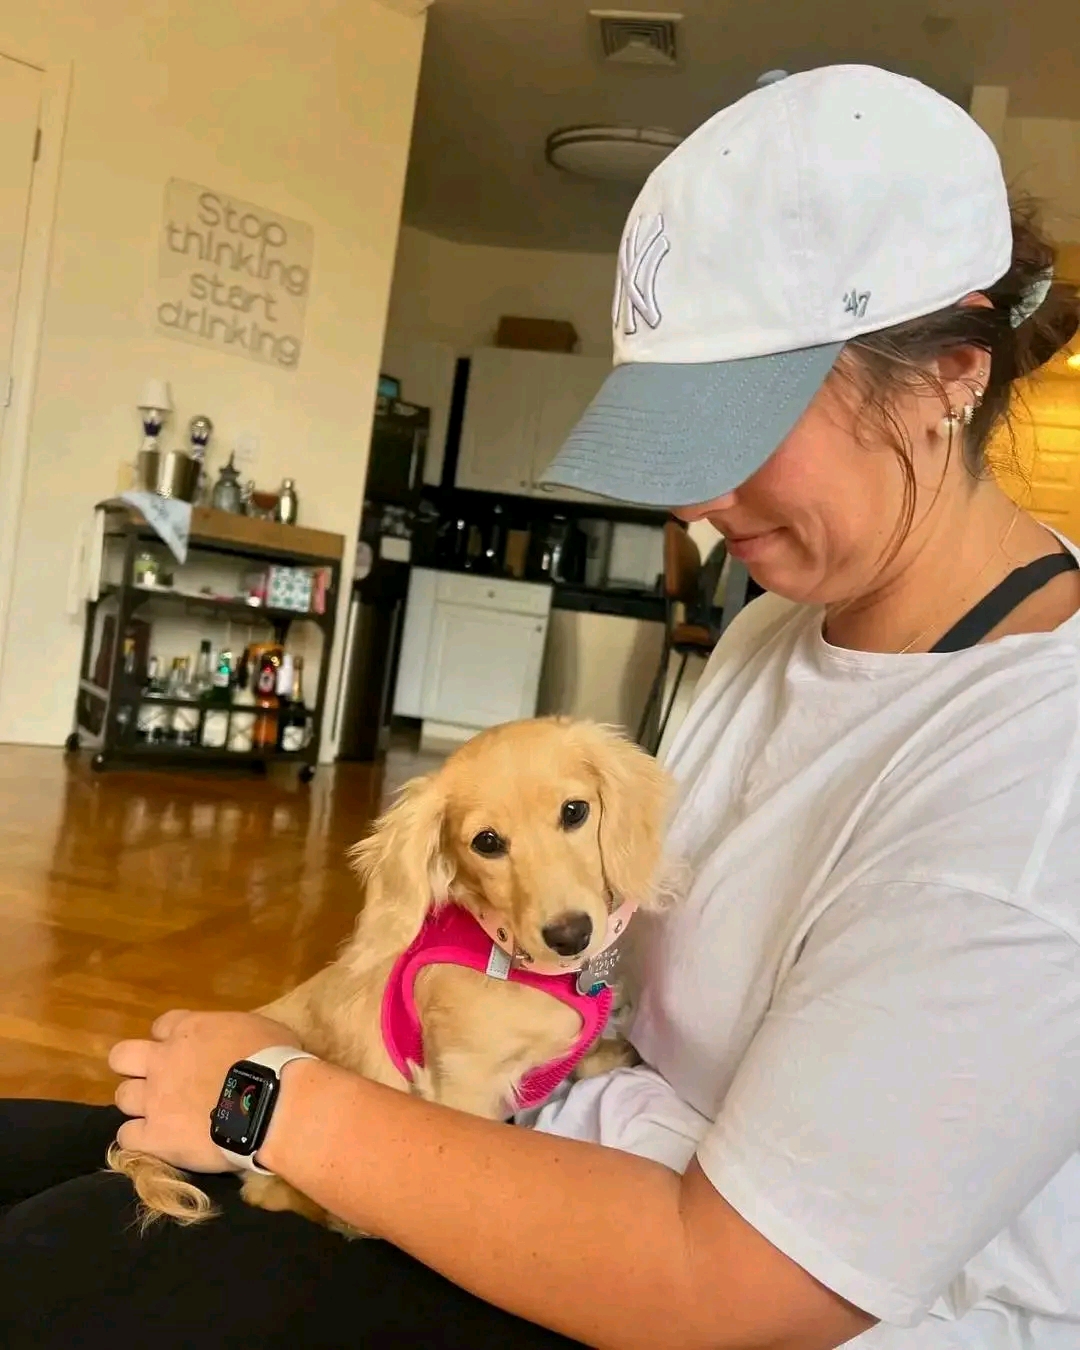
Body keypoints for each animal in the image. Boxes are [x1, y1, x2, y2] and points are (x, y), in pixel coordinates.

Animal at [109, 716, 674, 1231]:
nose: (570, 935)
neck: (512, 957)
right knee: (264, 1191)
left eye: (574, 811)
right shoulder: (462, 1088)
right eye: (487, 842)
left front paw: (611, 1051)